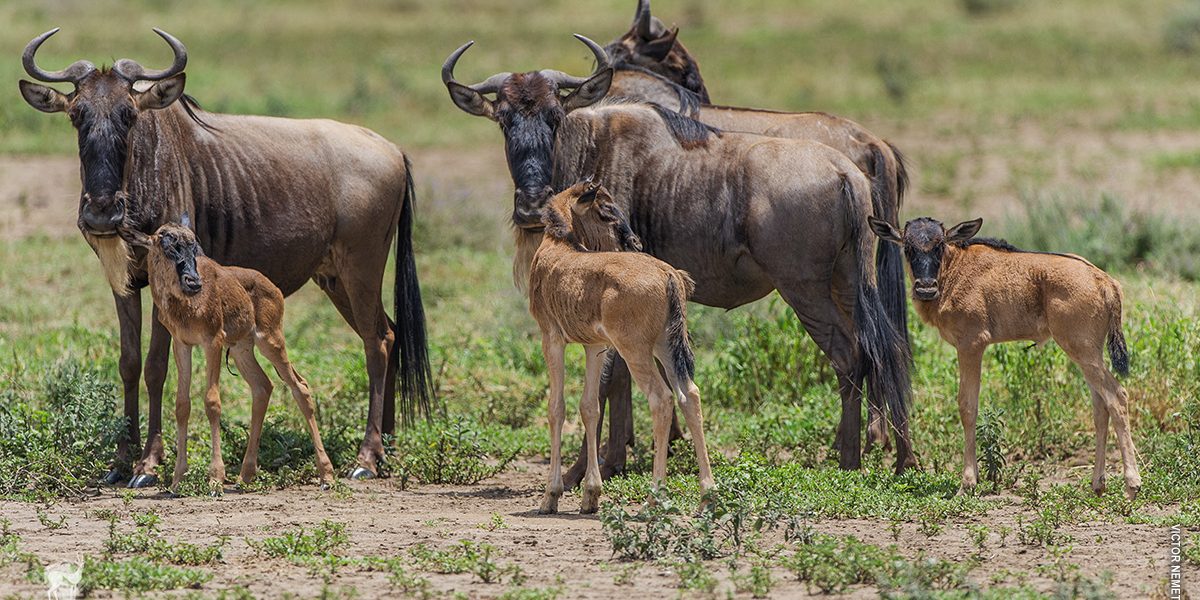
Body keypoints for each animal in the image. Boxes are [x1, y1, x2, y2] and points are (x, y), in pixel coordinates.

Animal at [122, 222, 336, 492]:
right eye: (166, 244)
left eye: (195, 247)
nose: (193, 283)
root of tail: (272, 287)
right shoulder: (182, 345)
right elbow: (182, 405)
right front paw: (178, 479)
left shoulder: (212, 341)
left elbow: (212, 402)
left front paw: (215, 478)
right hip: (240, 349)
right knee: (263, 386)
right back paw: (246, 475)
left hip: (270, 341)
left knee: (300, 386)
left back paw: (327, 475)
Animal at [528, 181, 710, 511]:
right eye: (606, 211)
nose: (635, 242)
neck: (558, 245)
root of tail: (668, 274)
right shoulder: (595, 347)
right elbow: (590, 406)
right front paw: (590, 495)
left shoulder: (552, 339)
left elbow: (556, 407)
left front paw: (551, 495)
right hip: (665, 346)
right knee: (689, 394)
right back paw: (707, 496)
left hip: (635, 350)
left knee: (661, 398)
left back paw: (655, 496)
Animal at [868, 213, 1137, 499]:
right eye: (908, 248)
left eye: (939, 245)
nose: (926, 289)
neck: (953, 269)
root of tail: (1104, 280)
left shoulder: (971, 345)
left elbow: (967, 407)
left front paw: (967, 483)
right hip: (1088, 355)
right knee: (1101, 406)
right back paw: (1097, 484)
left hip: (1082, 351)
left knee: (1117, 396)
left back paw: (1132, 484)